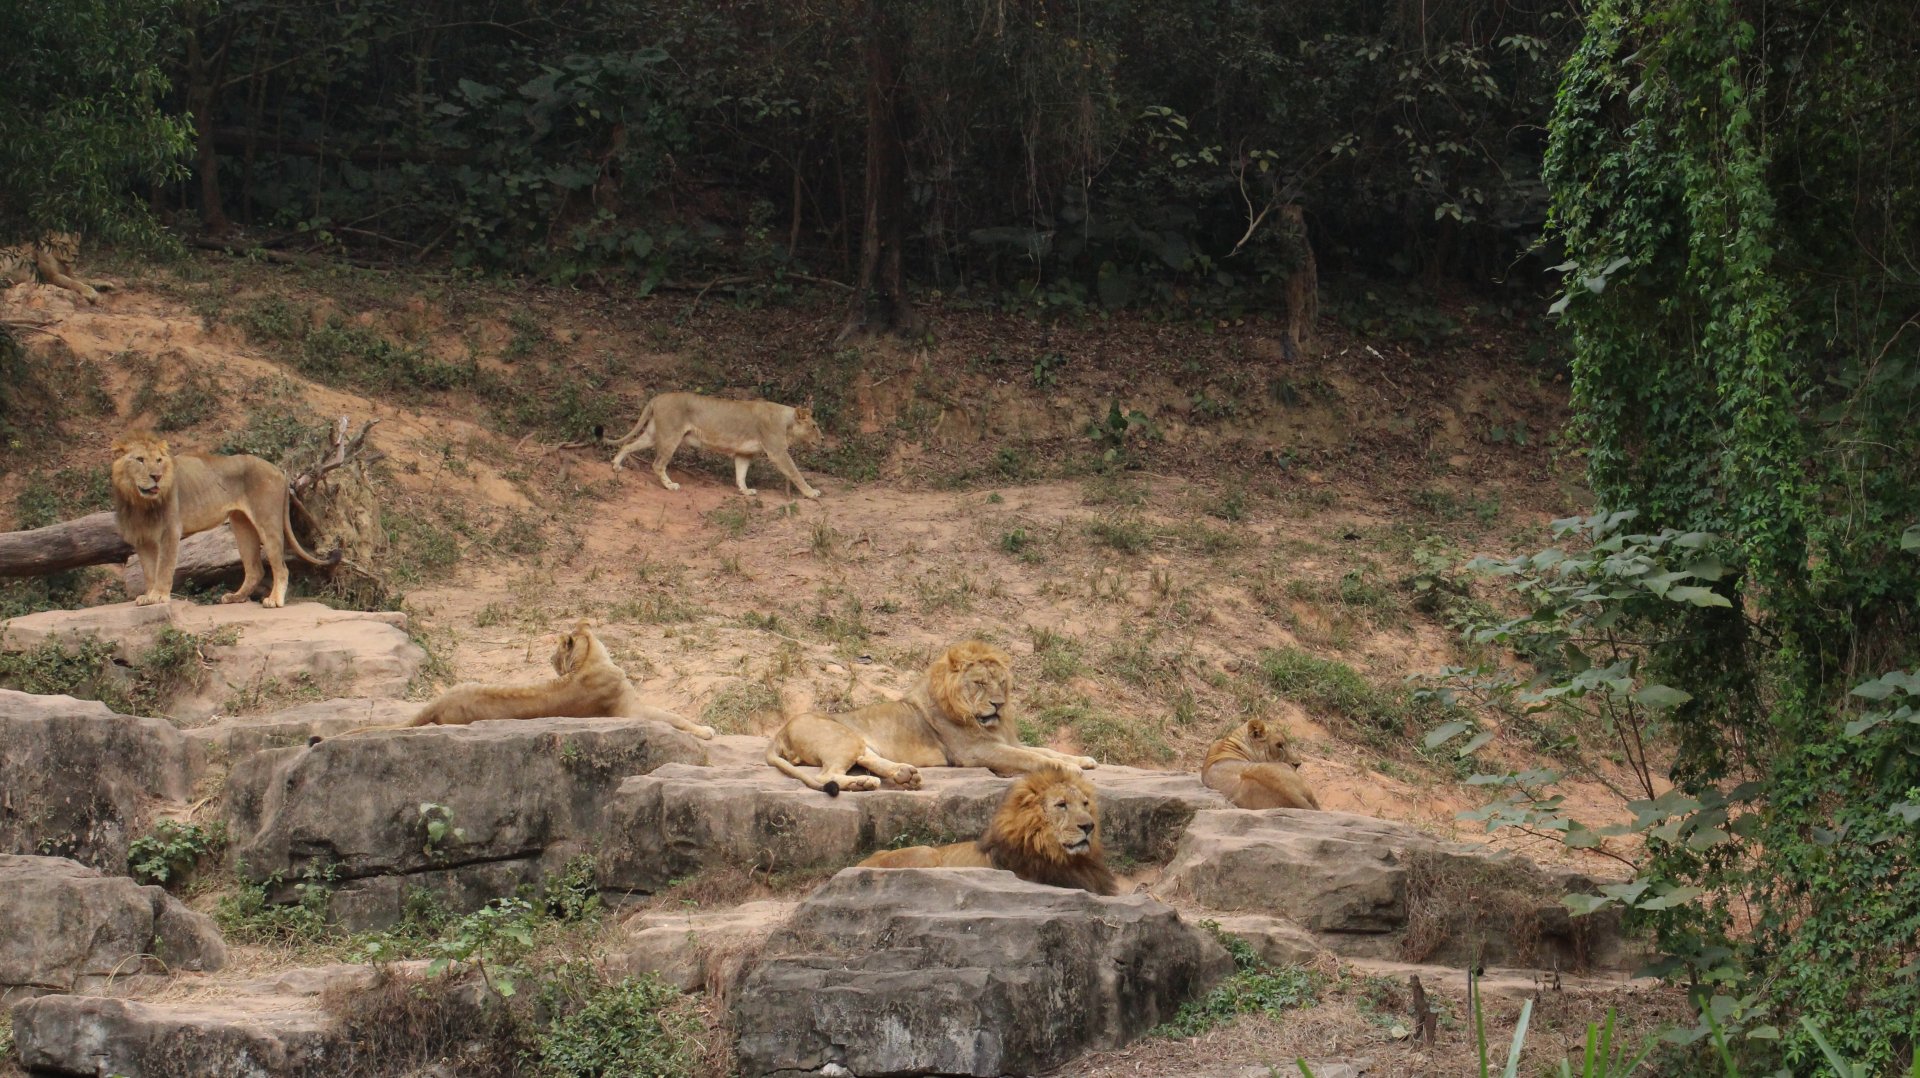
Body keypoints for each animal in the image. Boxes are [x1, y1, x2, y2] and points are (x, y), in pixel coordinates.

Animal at [110, 430, 340, 608]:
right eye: (140, 459)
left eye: (159, 460)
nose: (156, 476)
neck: (139, 502)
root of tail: (279, 471)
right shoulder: (141, 538)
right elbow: (149, 571)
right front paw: (148, 596)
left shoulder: (170, 531)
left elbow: (164, 567)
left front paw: (158, 596)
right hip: (241, 525)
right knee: (255, 569)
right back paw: (236, 597)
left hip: (268, 522)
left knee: (281, 567)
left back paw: (274, 600)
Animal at [318, 621, 715, 741]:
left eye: (553, 654)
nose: (550, 662)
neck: (588, 660)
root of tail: (439, 701)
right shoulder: (629, 710)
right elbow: (674, 716)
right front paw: (707, 730)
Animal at [603, 391, 823, 499]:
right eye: (814, 426)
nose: (822, 440)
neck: (787, 422)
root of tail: (657, 397)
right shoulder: (777, 452)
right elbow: (796, 473)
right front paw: (810, 492)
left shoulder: (744, 453)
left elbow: (741, 474)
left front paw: (745, 491)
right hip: (670, 436)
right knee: (657, 464)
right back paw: (670, 485)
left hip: (653, 434)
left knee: (628, 445)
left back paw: (616, 465)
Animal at [765, 640, 1096, 795]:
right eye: (979, 683)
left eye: (1001, 682)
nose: (999, 705)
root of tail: (779, 733)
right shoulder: (976, 751)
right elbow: (1032, 758)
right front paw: (1069, 768)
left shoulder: (1005, 740)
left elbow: (1045, 750)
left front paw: (1083, 760)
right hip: (842, 738)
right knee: (826, 776)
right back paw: (864, 785)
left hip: (857, 741)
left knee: (869, 761)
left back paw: (902, 775)